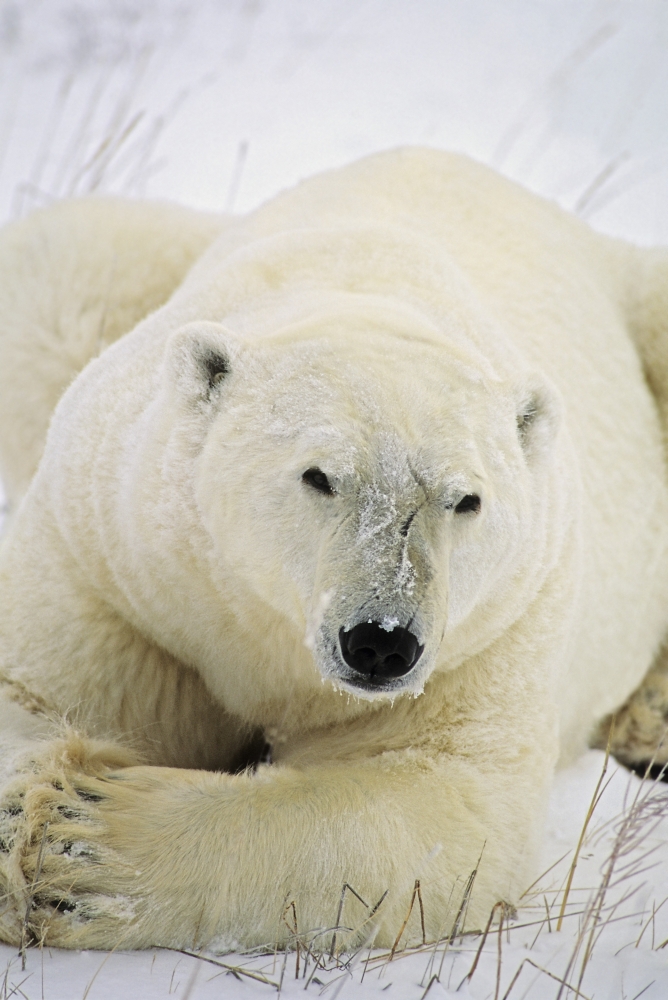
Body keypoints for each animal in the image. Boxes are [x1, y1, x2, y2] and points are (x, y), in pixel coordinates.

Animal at [0, 147, 668, 953]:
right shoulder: (115, 563)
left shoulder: (496, 628)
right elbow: (36, 692)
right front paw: (35, 821)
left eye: (466, 500)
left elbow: (436, 802)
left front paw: (84, 837)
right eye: (319, 476)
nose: (381, 642)